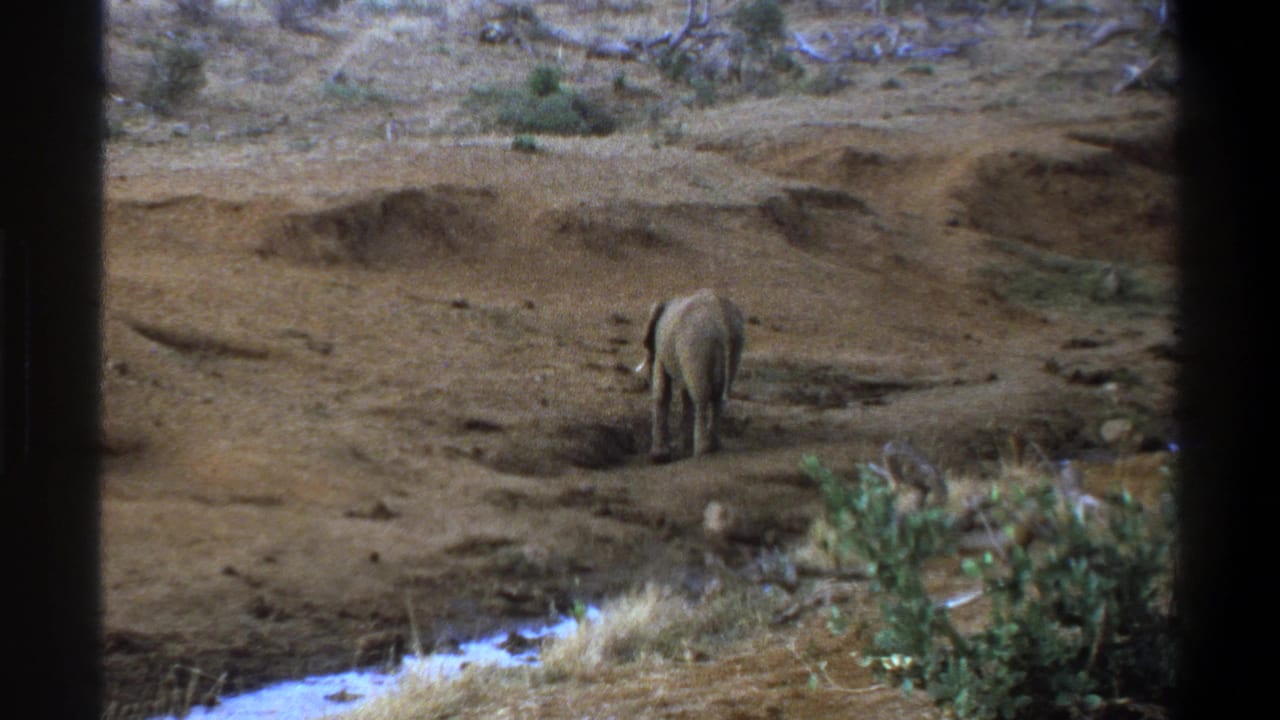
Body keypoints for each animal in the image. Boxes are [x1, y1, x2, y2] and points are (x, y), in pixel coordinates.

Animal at [638, 289, 746, 462]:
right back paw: (714, 446)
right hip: (735, 345)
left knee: (701, 397)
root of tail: (722, 320)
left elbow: (662, 391)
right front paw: (682, 450)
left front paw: (659, 456)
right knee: (717, 398)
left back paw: (702, 451)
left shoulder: (662, 348)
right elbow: (684, 393)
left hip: (696, 345)